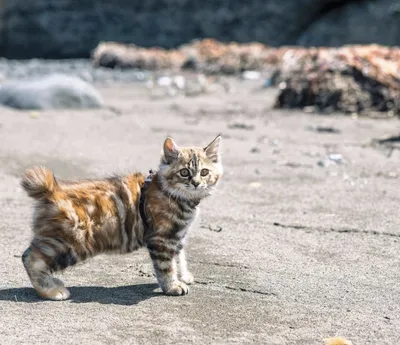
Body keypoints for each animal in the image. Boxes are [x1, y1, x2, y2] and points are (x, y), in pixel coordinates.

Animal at [21, 134, 222, 298]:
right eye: (184, 172)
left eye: (204, 172)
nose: (196, 183)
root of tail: (51, 190)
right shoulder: (162, 238)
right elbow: (166, 266)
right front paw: (172, 286)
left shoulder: (177, 236)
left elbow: (179, 258)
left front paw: (184, 276)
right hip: (71, 244)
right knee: (31, 260)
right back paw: (51, 291)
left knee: (29, 253)